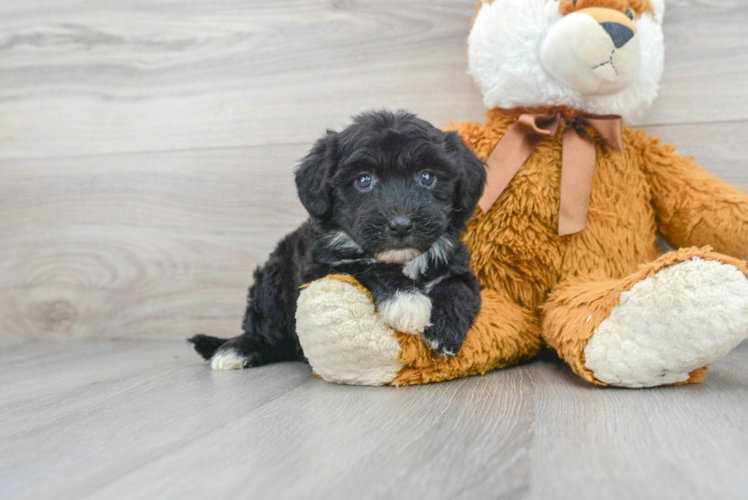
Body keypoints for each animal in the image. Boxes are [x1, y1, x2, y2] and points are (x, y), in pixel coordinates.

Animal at [190, 112, 488, 372]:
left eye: (427, 177)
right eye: (364, 180)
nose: (401, 224)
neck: (401, 259)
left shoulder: (455, 261)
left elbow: (458, 287)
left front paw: (446, 331)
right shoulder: (323, 268)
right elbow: (366, 268)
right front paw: (407, 302)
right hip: (271, 283)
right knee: (267, 330)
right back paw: (238, 349)